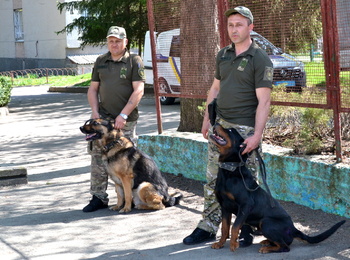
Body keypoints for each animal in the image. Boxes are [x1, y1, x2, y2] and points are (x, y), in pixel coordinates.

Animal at [209, 123, 346, 253]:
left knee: (285, 247)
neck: (230, 170)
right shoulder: (225, 206)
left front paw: (233, 244)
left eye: (230, 130)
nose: (215, 123)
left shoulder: (245, 204)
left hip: (265, 222)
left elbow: (235, 226)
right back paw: (266, 242)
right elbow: (225, 227)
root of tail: (293, 229)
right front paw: (220, 243)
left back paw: (267, 248)